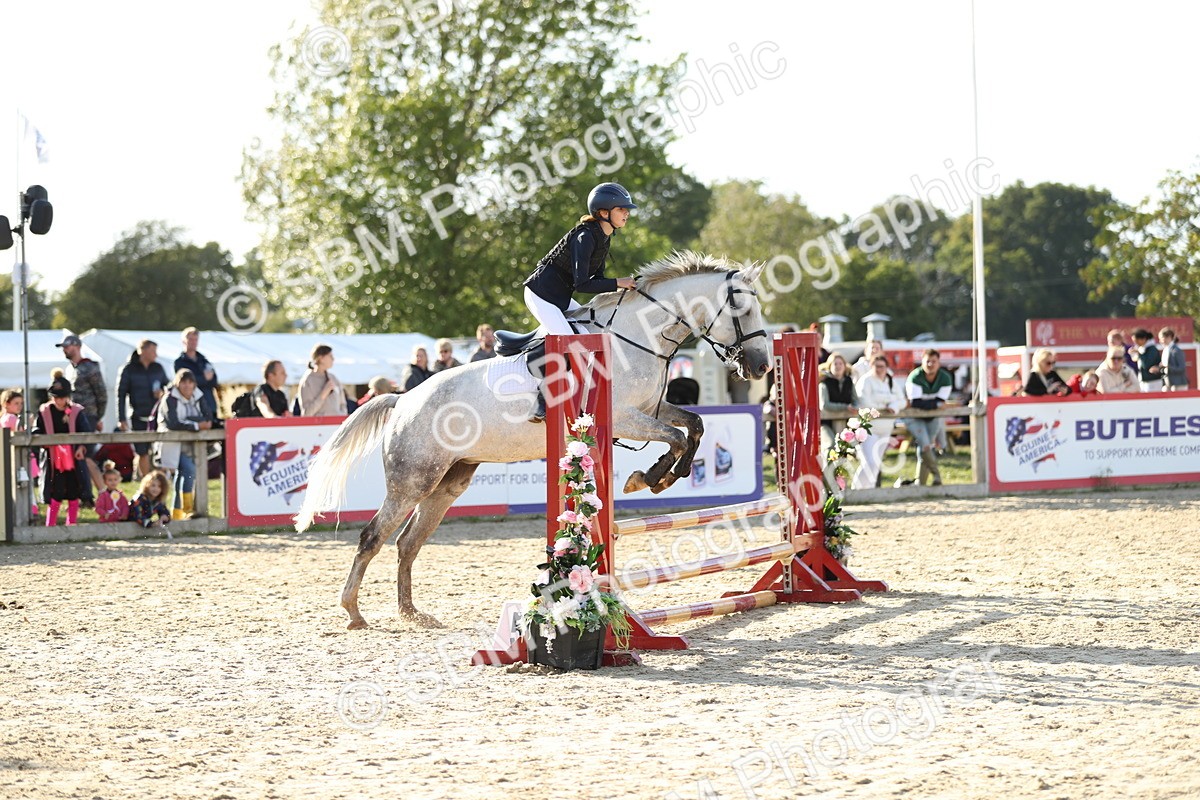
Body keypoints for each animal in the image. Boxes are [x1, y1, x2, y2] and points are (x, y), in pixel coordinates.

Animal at [295, 251, 773, 630]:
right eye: (742, 308)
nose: (761, 366)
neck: (638, 337)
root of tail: (402, 399)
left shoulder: (649, 411)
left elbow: (693, 426)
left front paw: (658, 476)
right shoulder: (624, 417)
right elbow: (676, 436)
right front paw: (650, 477)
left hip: (449, 480)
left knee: (408, 542)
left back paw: (412, 613)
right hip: (413, 480)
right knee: (372, 537)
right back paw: (354, 612)